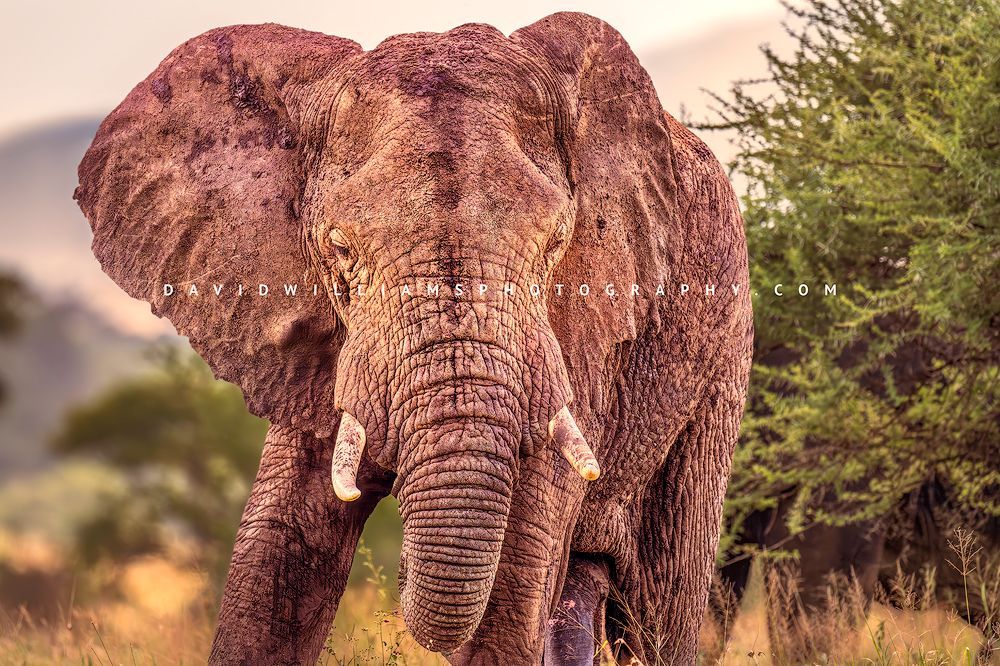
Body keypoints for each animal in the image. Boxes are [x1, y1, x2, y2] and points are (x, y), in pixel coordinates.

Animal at [75, 12, 752, 665]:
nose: (397, 572)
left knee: (663, 610)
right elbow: (273, 562)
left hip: (722, 361)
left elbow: (513, 586)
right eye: (339, 250)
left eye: (555, 245)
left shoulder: (579, 340)